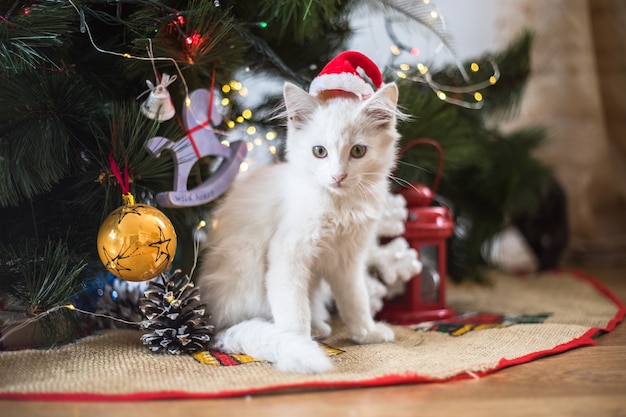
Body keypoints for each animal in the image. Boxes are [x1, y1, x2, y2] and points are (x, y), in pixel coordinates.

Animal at [195, 81, 400, 374]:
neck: (340, 206)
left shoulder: (348, 261)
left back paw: (319, 327)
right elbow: (294, 315)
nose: (338, 176)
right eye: (319, 151)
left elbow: (356, 301)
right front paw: (300, 346)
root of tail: (213, 326)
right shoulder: (288, 256)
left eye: (358, 151)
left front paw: (366, 333)